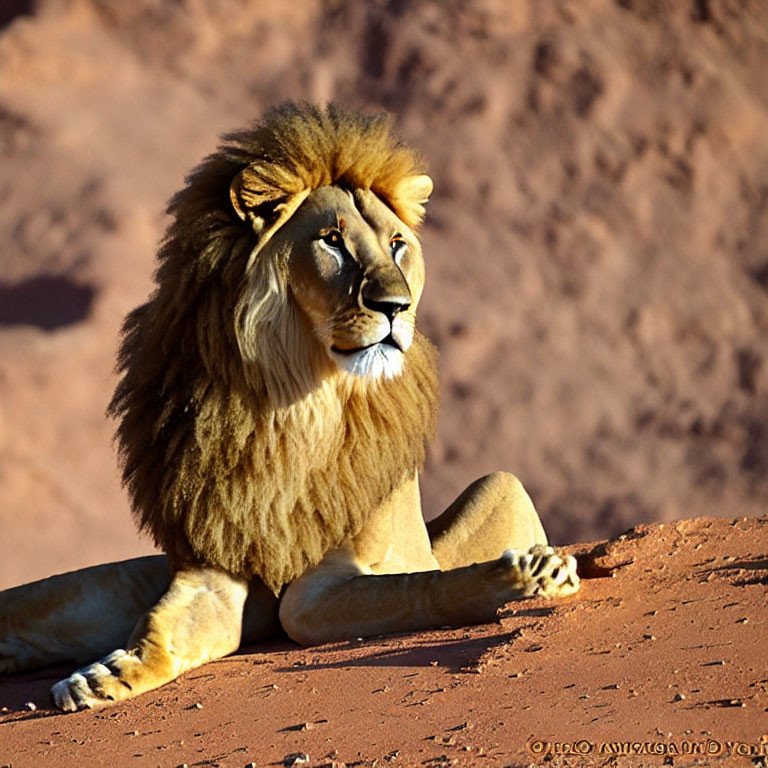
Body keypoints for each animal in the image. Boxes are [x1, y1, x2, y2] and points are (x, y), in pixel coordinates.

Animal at [0, 103, 576, 712]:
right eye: (332, 241)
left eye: (398, 244)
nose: (396, 306)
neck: (297, 404)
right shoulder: (210, 567)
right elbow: (160, 629)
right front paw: (105, 675)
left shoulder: (346, 571)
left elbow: (412, 587)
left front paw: (532, 575)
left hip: (501, 483)